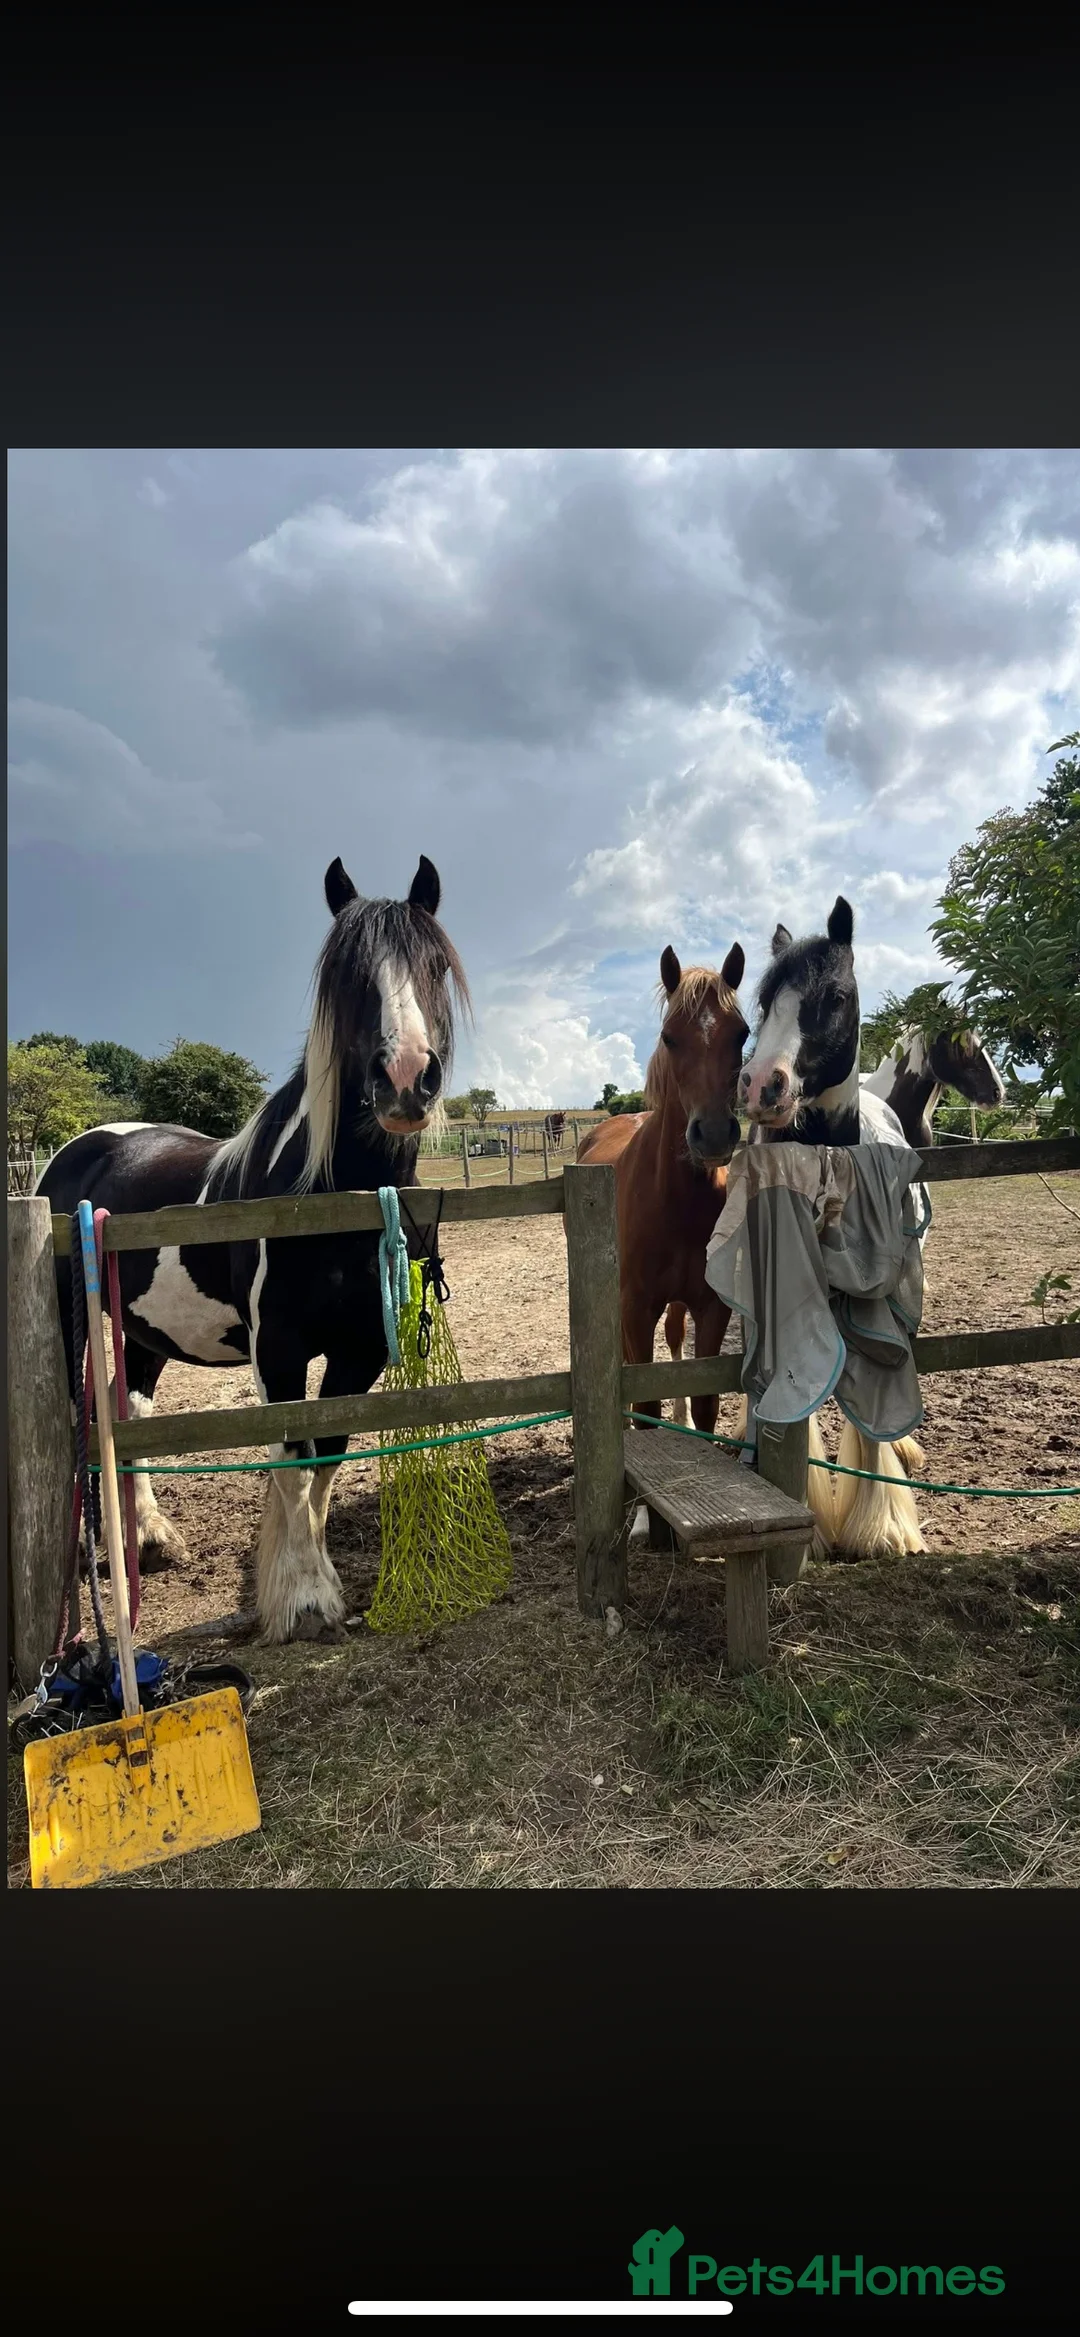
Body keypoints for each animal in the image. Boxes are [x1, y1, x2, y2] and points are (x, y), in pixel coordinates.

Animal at [35, 855, 470, 1643]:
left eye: (433, 966)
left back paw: (150, 1537)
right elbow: (293, 1458)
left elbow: (327, 1456)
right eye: (349, 975)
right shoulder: (281, 1350)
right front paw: (302, 1598)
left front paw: (318, 1582)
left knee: (129, 1409)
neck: (332, 1204)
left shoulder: (360, 1351)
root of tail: (75, 1152)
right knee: (86, 1421)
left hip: (144, 1331)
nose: (405, 1079)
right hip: (71, 1325)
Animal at [576, 944, 747, 1550]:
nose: (713, 1135)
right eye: (670, 1036)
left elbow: (704, 1397)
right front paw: (648, 1519)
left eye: (742, 1033)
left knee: (673, 1348)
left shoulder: (712, 1306)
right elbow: (644, 1399)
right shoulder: (635, 1306)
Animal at [733, 895, 928, 1562]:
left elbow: (877, 1395)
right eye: (766, 1000)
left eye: (835, 995)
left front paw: (882, 1523)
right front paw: (813, 1520)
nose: (762, 1084)